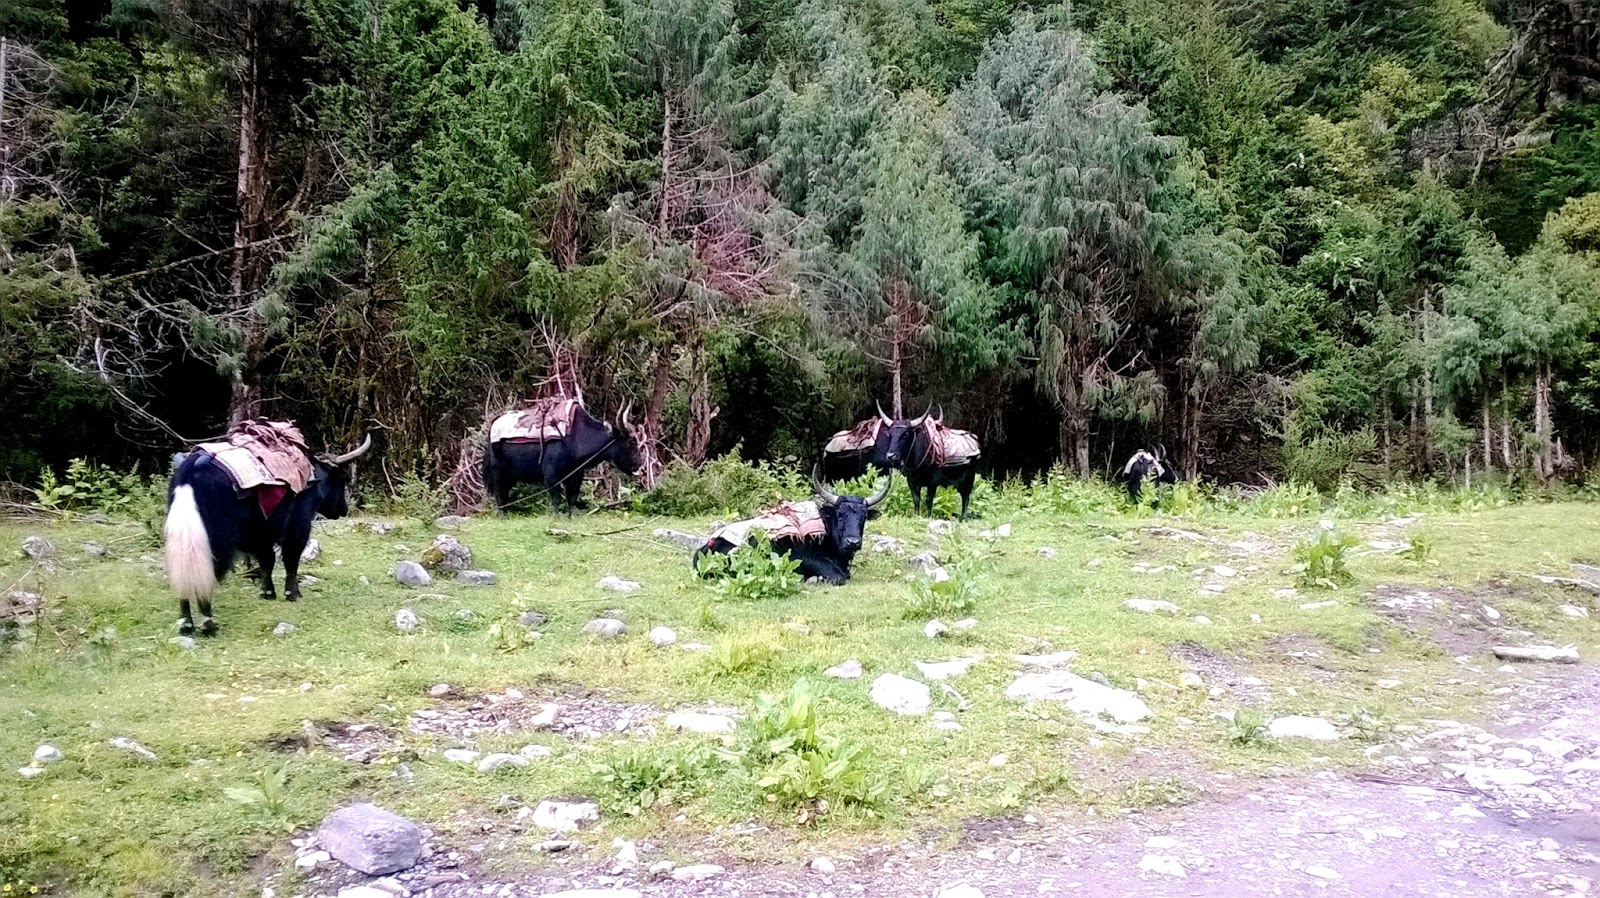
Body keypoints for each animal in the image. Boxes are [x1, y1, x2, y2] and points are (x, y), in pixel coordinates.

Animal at [164, 431, 371, 636]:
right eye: (342, 479)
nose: (343, 510)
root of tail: (189, 473)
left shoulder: (256, 536)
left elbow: (267, 561)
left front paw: (267, 593)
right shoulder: (298, 526)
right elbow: (290, 559)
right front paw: (293, 594)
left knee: (185, 575)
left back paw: (186, 625)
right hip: (216, 540)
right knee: (206, 575)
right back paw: (208, 625)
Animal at [483, 400, 643, 514]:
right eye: (631, 442)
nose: (639, 466)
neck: (576, 436)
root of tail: (492, 427)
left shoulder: (576, 476)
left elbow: (571, 499)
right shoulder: (551, 477)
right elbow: (556, 500)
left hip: (511, 476)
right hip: (498, 472)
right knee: (499, 495)